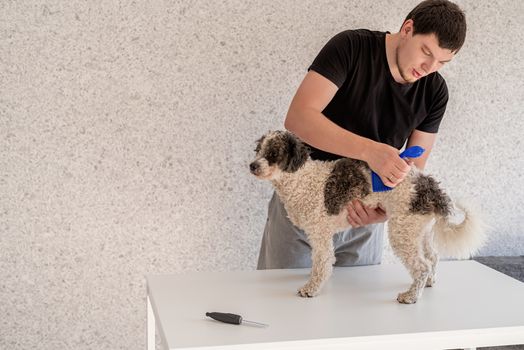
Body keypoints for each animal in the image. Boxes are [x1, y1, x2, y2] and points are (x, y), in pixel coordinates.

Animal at [250, 130, 488, 302]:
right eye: (258, 150)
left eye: (273, 153)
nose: (252, 165)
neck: (300, 179)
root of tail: (428, 185)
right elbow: (322, 262)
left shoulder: (320, 234)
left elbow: (322, 263)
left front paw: (311, 288)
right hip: (419, 231)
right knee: (433, 258)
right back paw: (428, 284)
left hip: (402, 232)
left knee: (422, 266)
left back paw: (411, 296)